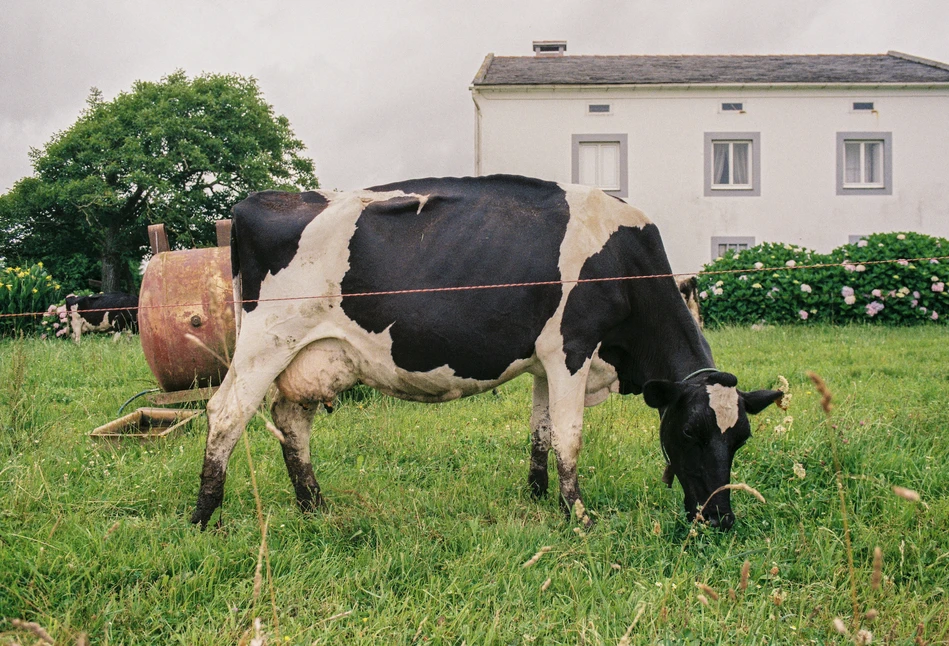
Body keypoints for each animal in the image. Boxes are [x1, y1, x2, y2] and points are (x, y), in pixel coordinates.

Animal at [191, 176, 776, 532]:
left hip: (311, 356)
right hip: (267, 341)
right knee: (226, 414)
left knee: (290, 420)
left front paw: (538, 497)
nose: (720, 518)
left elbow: (541, 431)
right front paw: (577, 514)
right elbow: (570, 436)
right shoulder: (572, 348)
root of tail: (256, 202)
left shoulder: (545, 362)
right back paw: (204, 517)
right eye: (689, 432)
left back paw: (314, 507)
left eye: (740, 439)